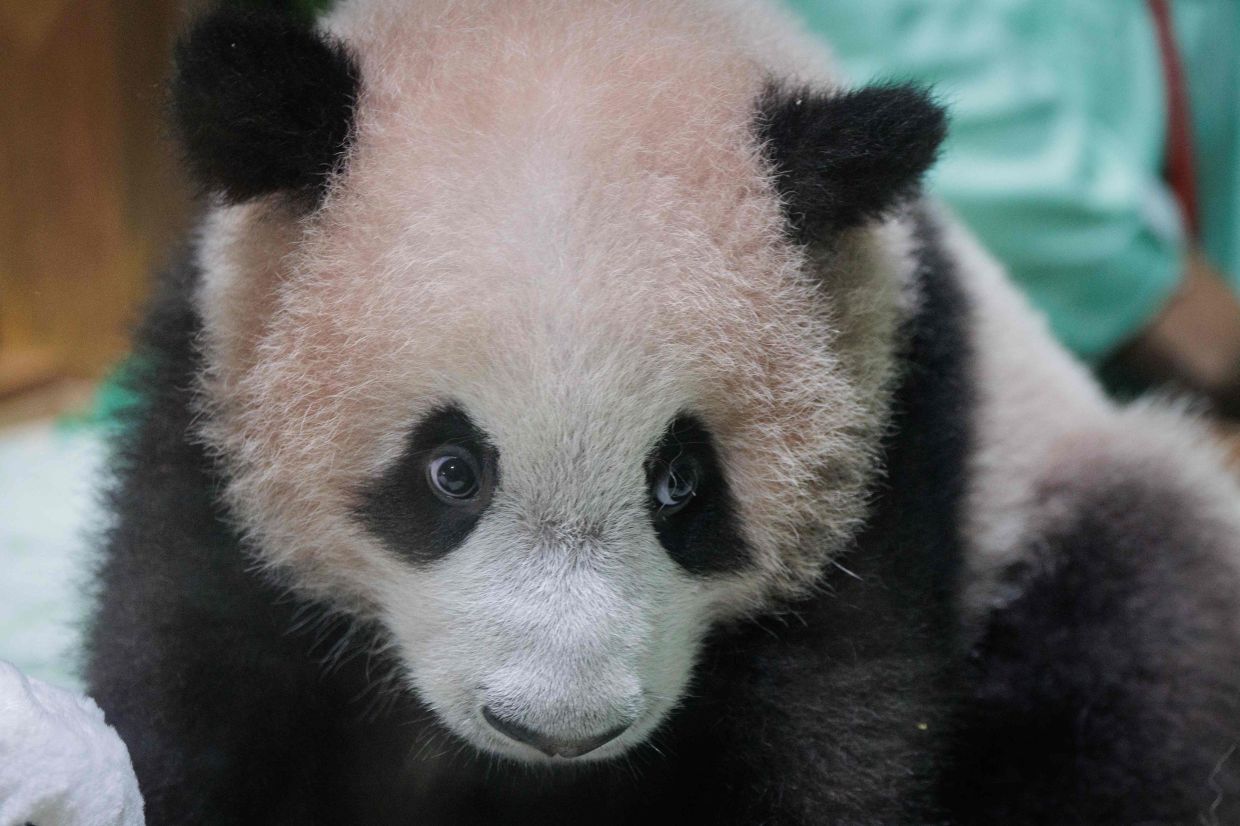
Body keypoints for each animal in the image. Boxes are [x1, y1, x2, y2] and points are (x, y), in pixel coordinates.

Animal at [85, 1, 1240, 823]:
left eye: (682, 480)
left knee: (1138, 663)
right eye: (450, 470)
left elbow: (846, 735)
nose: (555, 728)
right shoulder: (209, 419)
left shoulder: (893, 440)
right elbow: (190, 686)